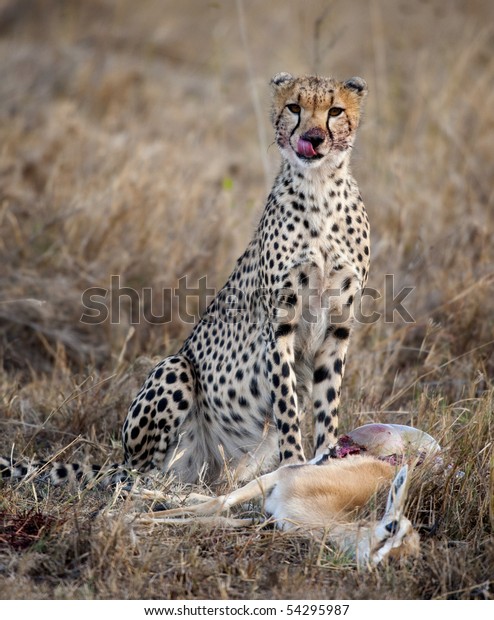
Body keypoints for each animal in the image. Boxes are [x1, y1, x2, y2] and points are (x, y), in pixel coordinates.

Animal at [123, 74, 370, 484]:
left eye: (335, 111)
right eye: (294, 107)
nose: (313, 137)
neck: (319, 187)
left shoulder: (338, 325)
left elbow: (327, 402)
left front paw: (327, 461)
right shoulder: (279, 322)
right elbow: (286, 401)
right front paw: (293, 462)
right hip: (174, 368)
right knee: (138, 471)